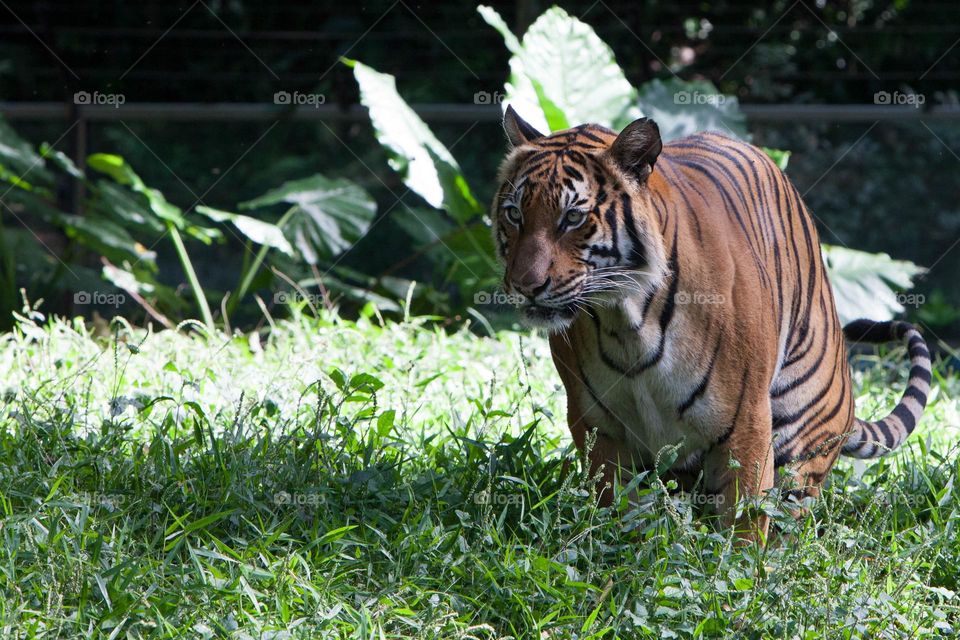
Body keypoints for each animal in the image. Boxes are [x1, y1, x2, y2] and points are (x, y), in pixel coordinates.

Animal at [492, 105, 932, 540]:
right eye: (514, 214)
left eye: (573, 217)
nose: (525, 286)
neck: (623, 320)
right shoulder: (599, 426)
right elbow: (617, 515)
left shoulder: (746, 422)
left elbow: (744, 526)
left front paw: (742, 560)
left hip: (802, 434)